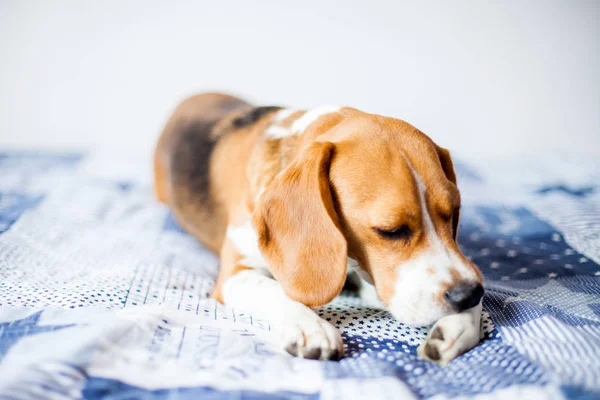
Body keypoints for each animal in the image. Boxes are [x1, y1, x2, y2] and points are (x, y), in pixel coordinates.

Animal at [154, 92, 482, 364]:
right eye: (391, 230)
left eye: (454, 213)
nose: (467, 294)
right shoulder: (235, 274)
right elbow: (276, 290)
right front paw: (309, 326)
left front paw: (461, 323)